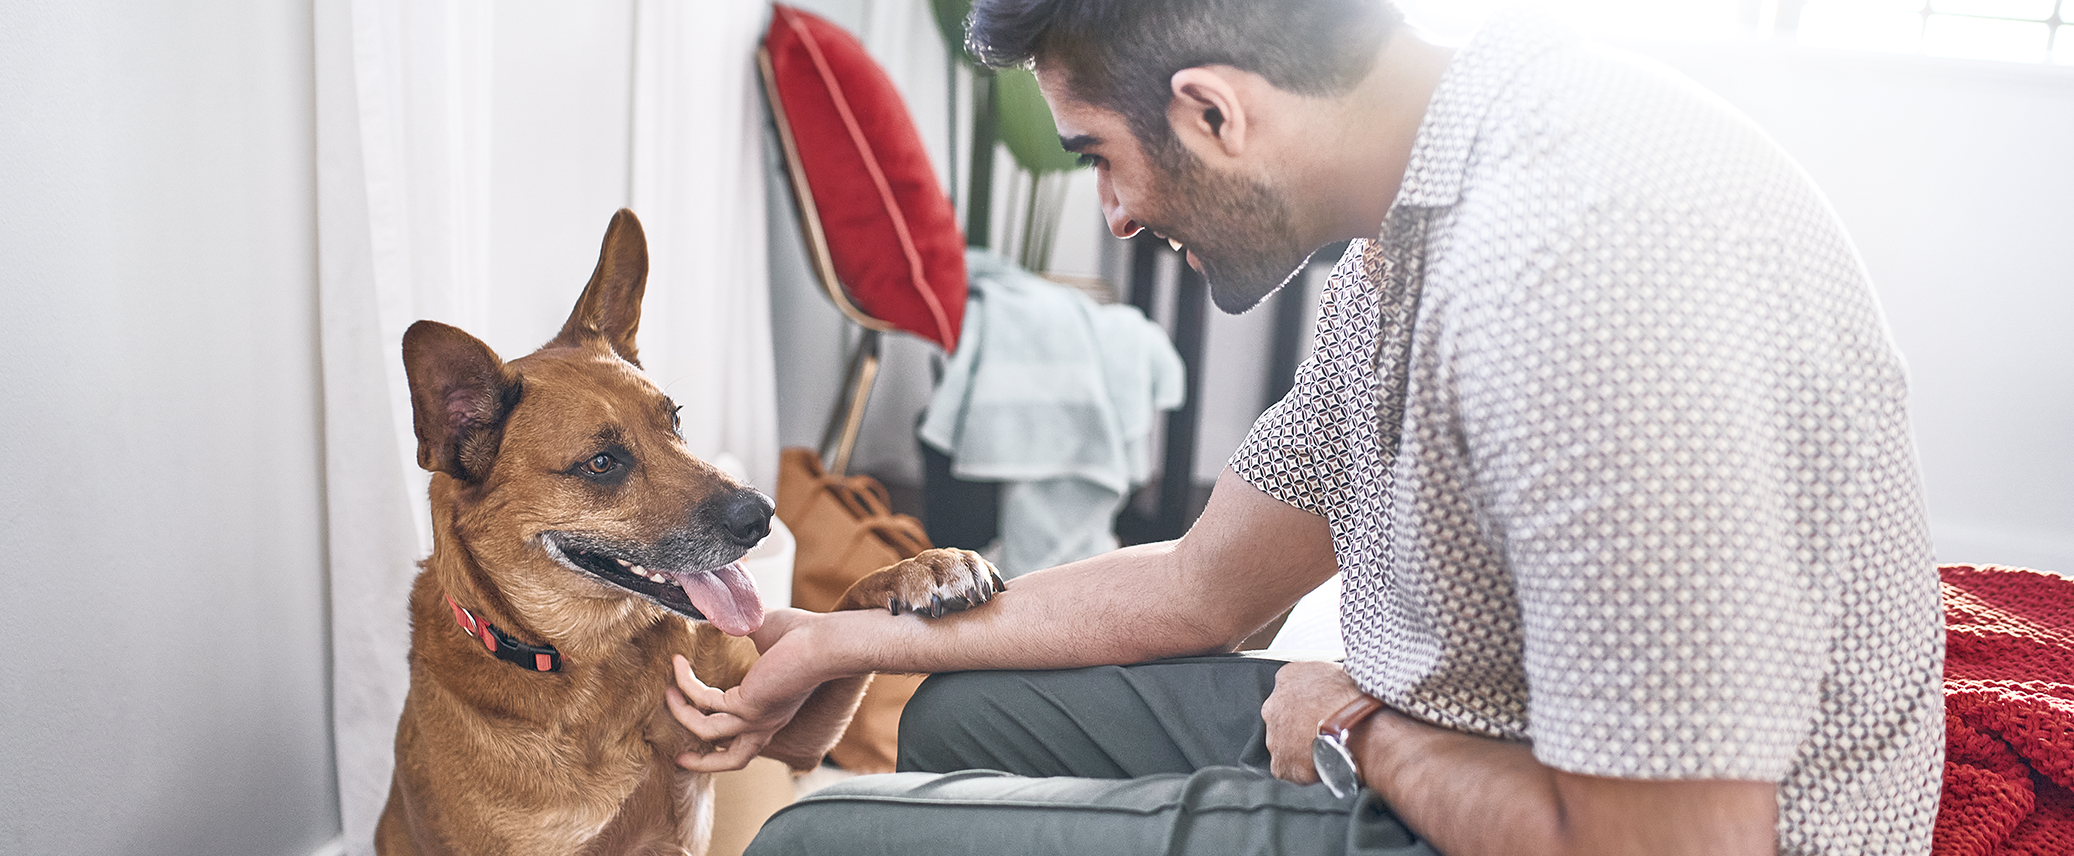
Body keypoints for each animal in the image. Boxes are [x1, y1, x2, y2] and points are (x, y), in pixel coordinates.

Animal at [385, 208, 1007, 853]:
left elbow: (841, 612)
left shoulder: (792, 734)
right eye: (602, 462)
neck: (596, 665)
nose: (762, 516)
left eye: (676, 421)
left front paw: (926, 566)